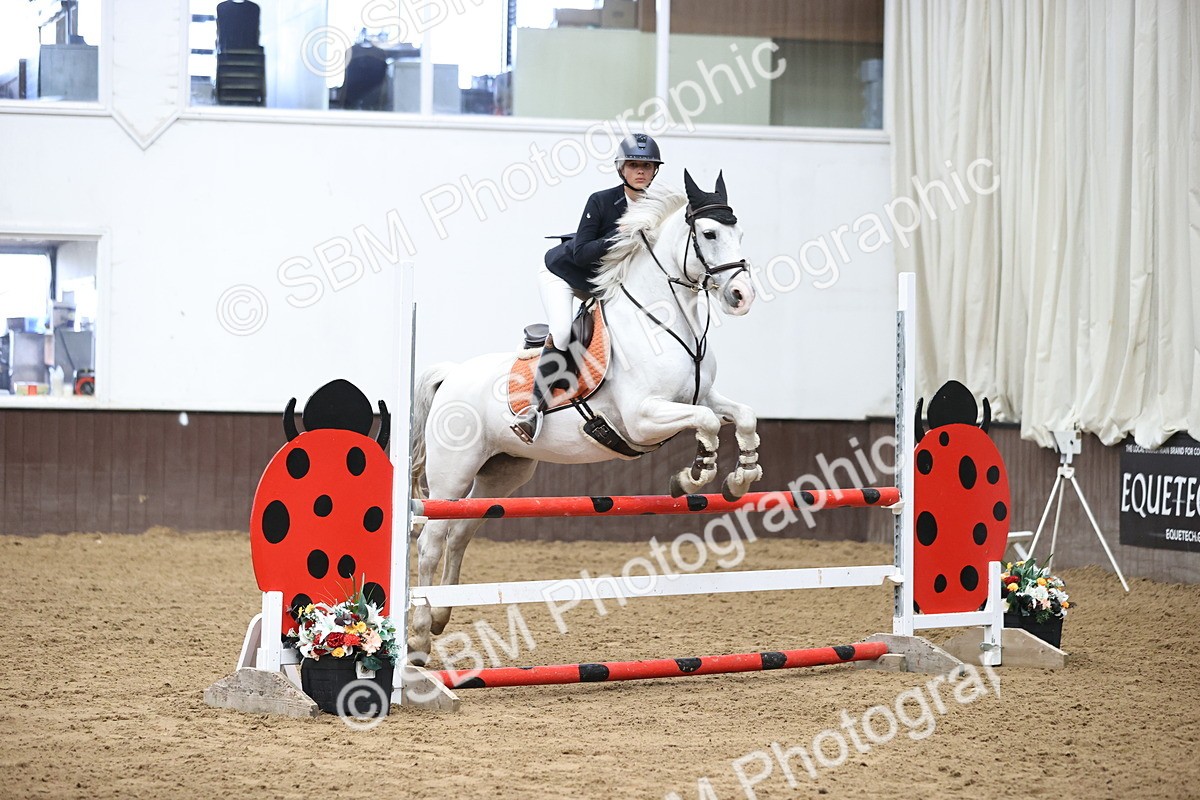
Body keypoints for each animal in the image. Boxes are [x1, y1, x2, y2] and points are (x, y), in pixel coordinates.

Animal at [407, 170, 763, 661]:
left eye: (740, 234)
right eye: (709, 234)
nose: (741, 296)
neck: (663, 322)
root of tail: (453, 374)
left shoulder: (702, 396)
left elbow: (742, 416)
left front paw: (740, 478)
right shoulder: (642, 418)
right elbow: (708, 426)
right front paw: (693, 476)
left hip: (502, 473)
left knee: (459, 534)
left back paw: (442, 615)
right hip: (451, 475)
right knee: (430, 542)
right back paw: (420, 636)